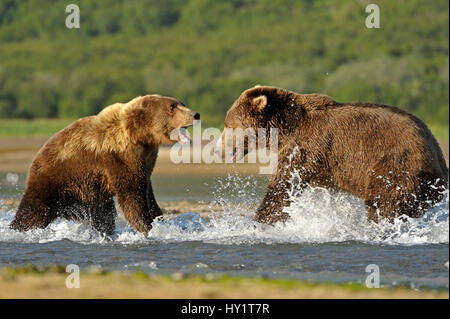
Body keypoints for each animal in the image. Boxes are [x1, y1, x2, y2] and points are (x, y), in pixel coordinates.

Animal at [8, 94, 199, 236]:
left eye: (182, 103)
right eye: (173, 107)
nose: (195, 114)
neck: (140, 137)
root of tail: (37, 156)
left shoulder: (146, 159)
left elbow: (147, 192)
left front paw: (159, 220)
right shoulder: (119, 157)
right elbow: (132, 195)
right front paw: (146, 227)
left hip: (89, 194)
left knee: (102, 216)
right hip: (54, 179)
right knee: (33, 212)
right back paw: (17, 229)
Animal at [223, 86, 448, 224]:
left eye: (229, 125)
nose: (220, 148)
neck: (284, 128)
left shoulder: (307, 146)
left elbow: (284, 184)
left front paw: (260, 219)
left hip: (397, 165)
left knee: (384, 203)